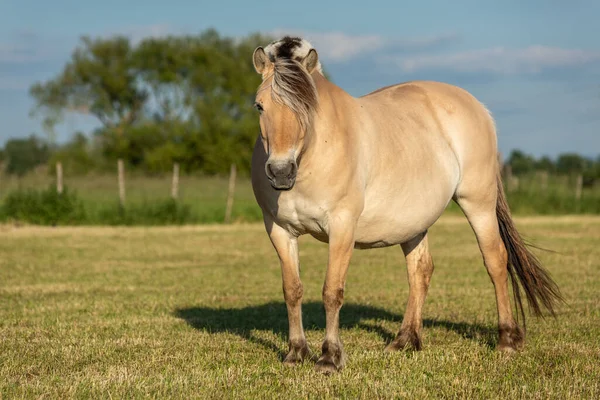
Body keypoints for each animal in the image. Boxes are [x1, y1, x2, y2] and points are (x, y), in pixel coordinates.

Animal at [250, 36, 564, 374]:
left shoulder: (342, 227)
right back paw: (405, 340)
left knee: (495, 260)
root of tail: (478, 107)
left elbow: (332, 291)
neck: (314, 153)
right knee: (420, 270)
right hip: (414, 222)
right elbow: (292, 290)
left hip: (478, 203)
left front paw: (330, 358)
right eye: (259, 105)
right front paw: (296, 352)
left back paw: (506, 340)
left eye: (307, 107)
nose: (281, 171)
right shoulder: (279, 230)